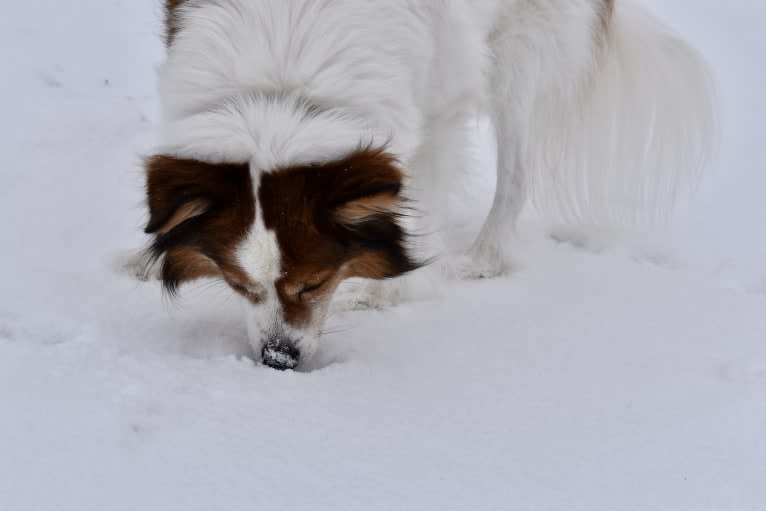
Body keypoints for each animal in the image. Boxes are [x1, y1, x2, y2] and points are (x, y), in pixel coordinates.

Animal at [129, 0, 716, 368]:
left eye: (316, 284)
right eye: (238, 284)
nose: (278, 361)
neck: (283, 87)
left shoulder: (439, 101)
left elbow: (419, 194)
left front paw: (388, 290)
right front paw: (147, 254)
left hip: (517, 49)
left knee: (517, 171)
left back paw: (483, 256)